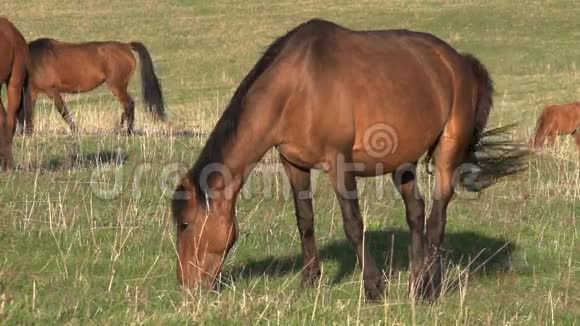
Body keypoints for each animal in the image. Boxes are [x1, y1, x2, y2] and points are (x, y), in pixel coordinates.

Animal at [20, 38, 164, 134]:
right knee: (127, 105)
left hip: (116, 86)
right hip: (120, 86)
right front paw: (28, 132)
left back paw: (128, 131)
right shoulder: (33, 92)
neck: (35, 59)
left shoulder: (52, 91)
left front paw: (76, 130)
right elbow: (29, 110)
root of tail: (126, 46)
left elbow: (63, 111)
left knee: (129, 104)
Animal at [171, 19, 524, 302]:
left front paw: (373, 287)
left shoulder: (339, 162)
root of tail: (459, 61)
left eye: (185, 224)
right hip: (402, 161)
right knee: (416, 213)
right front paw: (309, 282)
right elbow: (305, 220)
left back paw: (428, 289)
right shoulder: (293, 164)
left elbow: (354, 223)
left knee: (437, 217)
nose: (187, 286)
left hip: (447, 152)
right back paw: (414, 281)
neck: (298, 85)